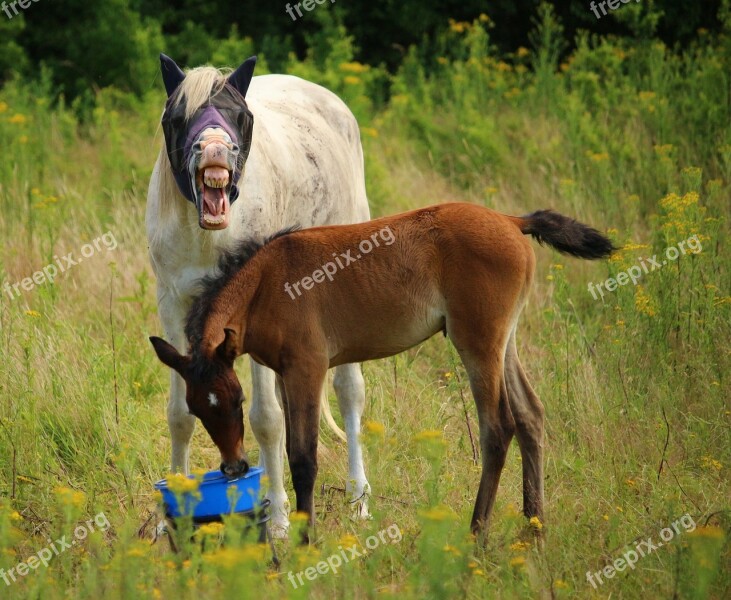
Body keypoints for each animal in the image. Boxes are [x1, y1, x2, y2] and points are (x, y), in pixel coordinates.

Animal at [145, 55, 372, 536]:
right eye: (177, 118)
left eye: (241, 116)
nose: (214, 150)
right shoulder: (172, 306)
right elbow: (178, 416)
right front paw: (167, 521)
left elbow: (268, 419)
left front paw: (279, 521)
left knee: (349, 390)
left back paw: (359, 498)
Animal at [152, 204, 616, 536]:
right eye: (198, 407)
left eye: (237, 400)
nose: (233, 469)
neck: (267, 281)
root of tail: (510, 220)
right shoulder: (286, 374)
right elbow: (289, 446)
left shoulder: (308, 368)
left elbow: (304, 458)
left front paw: (306, 541)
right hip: (506, 342)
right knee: (531, 415)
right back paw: (534, 527)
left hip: (478, 342)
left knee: (499, 427)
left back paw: (477, 533)